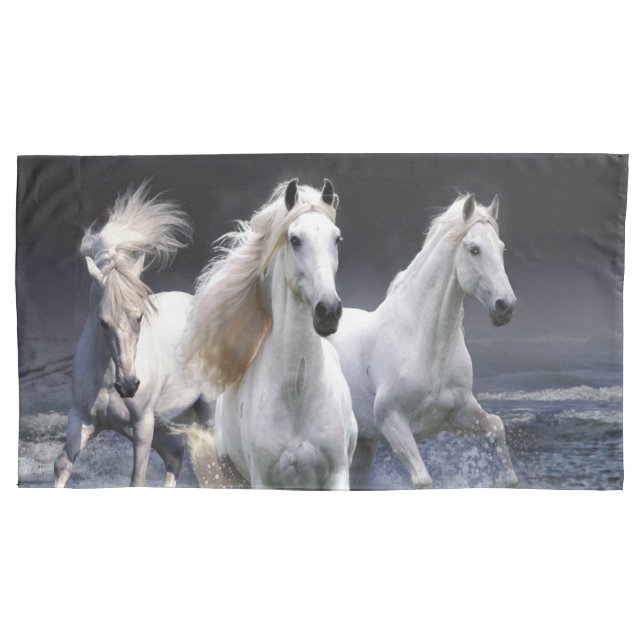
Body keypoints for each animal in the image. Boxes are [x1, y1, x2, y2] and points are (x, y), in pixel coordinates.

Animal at [54, 184, 210, 487]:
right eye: (103, 322)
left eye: (139, 317)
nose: (128, 386)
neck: (106, 379)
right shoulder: (81, 419)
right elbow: (62, 465)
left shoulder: (142, 427)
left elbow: (137, 479)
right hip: (165, 424)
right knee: (175, 458)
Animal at [185, 179, 357, 490]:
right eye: (295, 240)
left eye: (336, 238)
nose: (328, 310)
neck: (297, 393)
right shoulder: (263, 481)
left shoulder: (338, 474)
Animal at [329, 193, 519, 489]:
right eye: (474, 249)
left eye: (501, 249)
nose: (505, 306)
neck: (425, 343)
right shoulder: (393, 422)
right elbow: (423, 480)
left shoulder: (457, 413)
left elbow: (497, 426)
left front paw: (509, 479)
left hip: (364, 443)